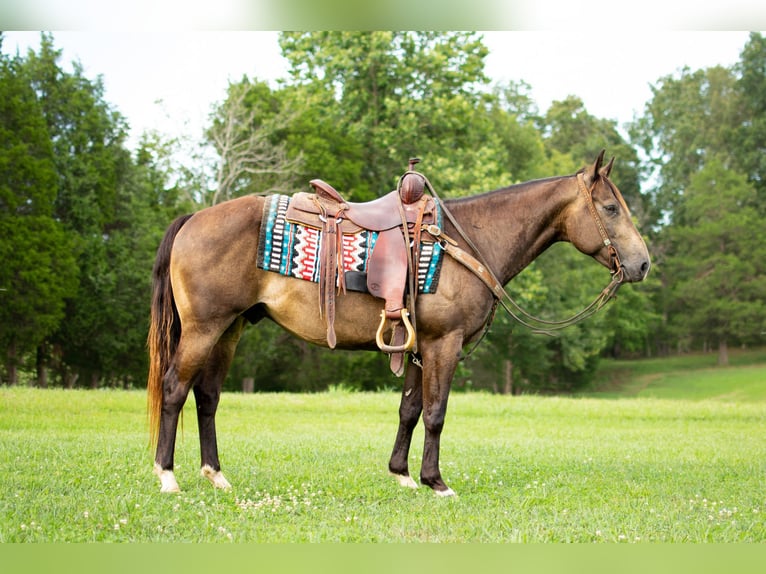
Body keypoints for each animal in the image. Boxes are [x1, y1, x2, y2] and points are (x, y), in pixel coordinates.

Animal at [148, 151, 656, 498]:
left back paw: (215, 474)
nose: (643, 264)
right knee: (175, 389)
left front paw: (403, 475)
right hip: (204, 328)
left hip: (229, 329)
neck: (466, 241)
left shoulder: (417, 346)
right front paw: (436, 482)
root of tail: (194, 218)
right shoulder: (443, 344)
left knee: (207, 396)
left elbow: (409, 410)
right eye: (611, 208)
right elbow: (435, 413)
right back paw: (167, 476)